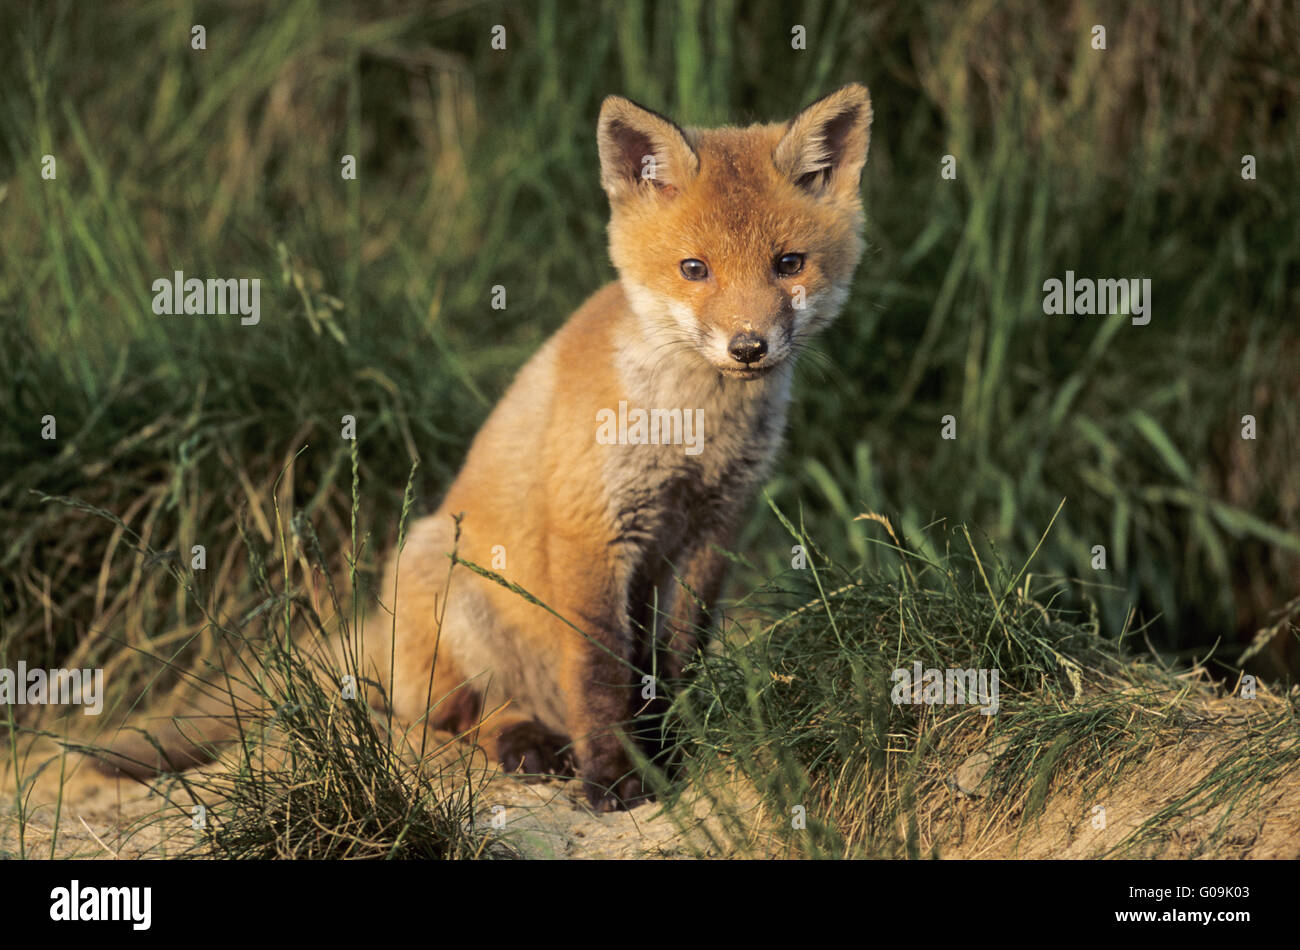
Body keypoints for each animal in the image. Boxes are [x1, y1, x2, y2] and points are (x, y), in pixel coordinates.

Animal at [94, 84, 873, 812]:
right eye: (693, 269)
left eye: (788, 264)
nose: (748, 347)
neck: (694, 432)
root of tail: (375, 627)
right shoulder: (591, 534)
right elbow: (600, 676)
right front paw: (613, 776)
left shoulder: (713, 531)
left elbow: (678, 661)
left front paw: (678, 748)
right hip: (448, 579)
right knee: (449, 718)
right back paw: (523, 740)